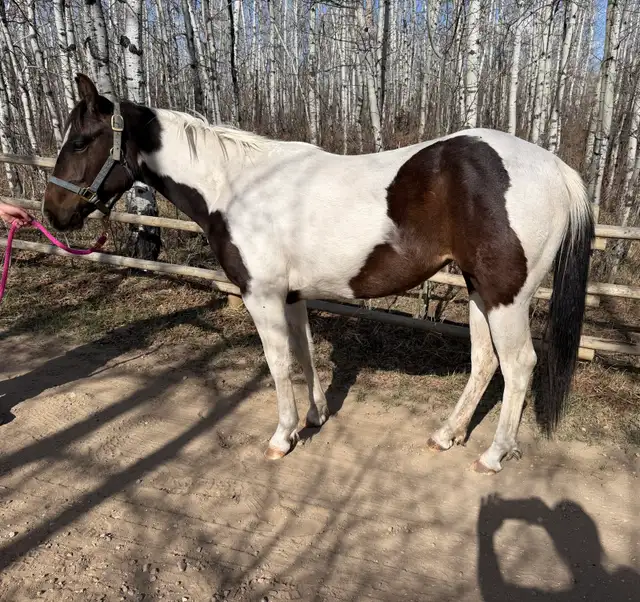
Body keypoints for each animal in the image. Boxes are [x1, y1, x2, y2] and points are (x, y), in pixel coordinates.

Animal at [43, 74, 594, 474]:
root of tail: (557, 170)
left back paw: (493, 455)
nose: (54, 213)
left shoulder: (262, 296)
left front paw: (281, 437)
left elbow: (278, 363)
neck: (237, 187)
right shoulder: (292, 295)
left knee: (519, 365)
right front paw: (315, 417)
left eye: (82, 141)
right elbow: (305, 355)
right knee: (484, 362)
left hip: (505, 297)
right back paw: (446, 435)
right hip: (480, 291)